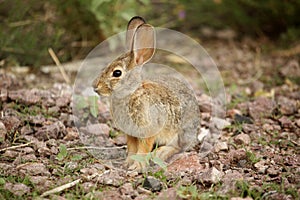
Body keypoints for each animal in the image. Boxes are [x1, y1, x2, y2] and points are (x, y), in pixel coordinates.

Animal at [92, 16, 200, 172]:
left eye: (117, 73)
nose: (95, 87)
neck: (132, 93)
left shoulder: (148, 130)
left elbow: (143, 149)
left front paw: (137, 166)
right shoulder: (130, 133)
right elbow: (132, 148)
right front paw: (127, 163)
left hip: (179, 132)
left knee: (177, 147)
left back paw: (161, 153)